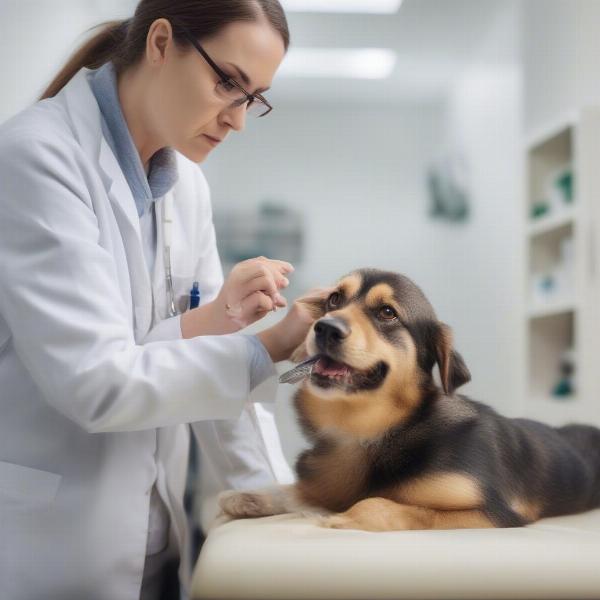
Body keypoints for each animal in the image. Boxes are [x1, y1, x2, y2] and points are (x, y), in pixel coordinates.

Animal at [219, 270, 600, 532]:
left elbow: (381, 504)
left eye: (388, 312)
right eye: (334, 300)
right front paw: (249, 497)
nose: (324, 327)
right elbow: (296, 489)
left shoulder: (494, 513)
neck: (374, 430)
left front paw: (339, 519)